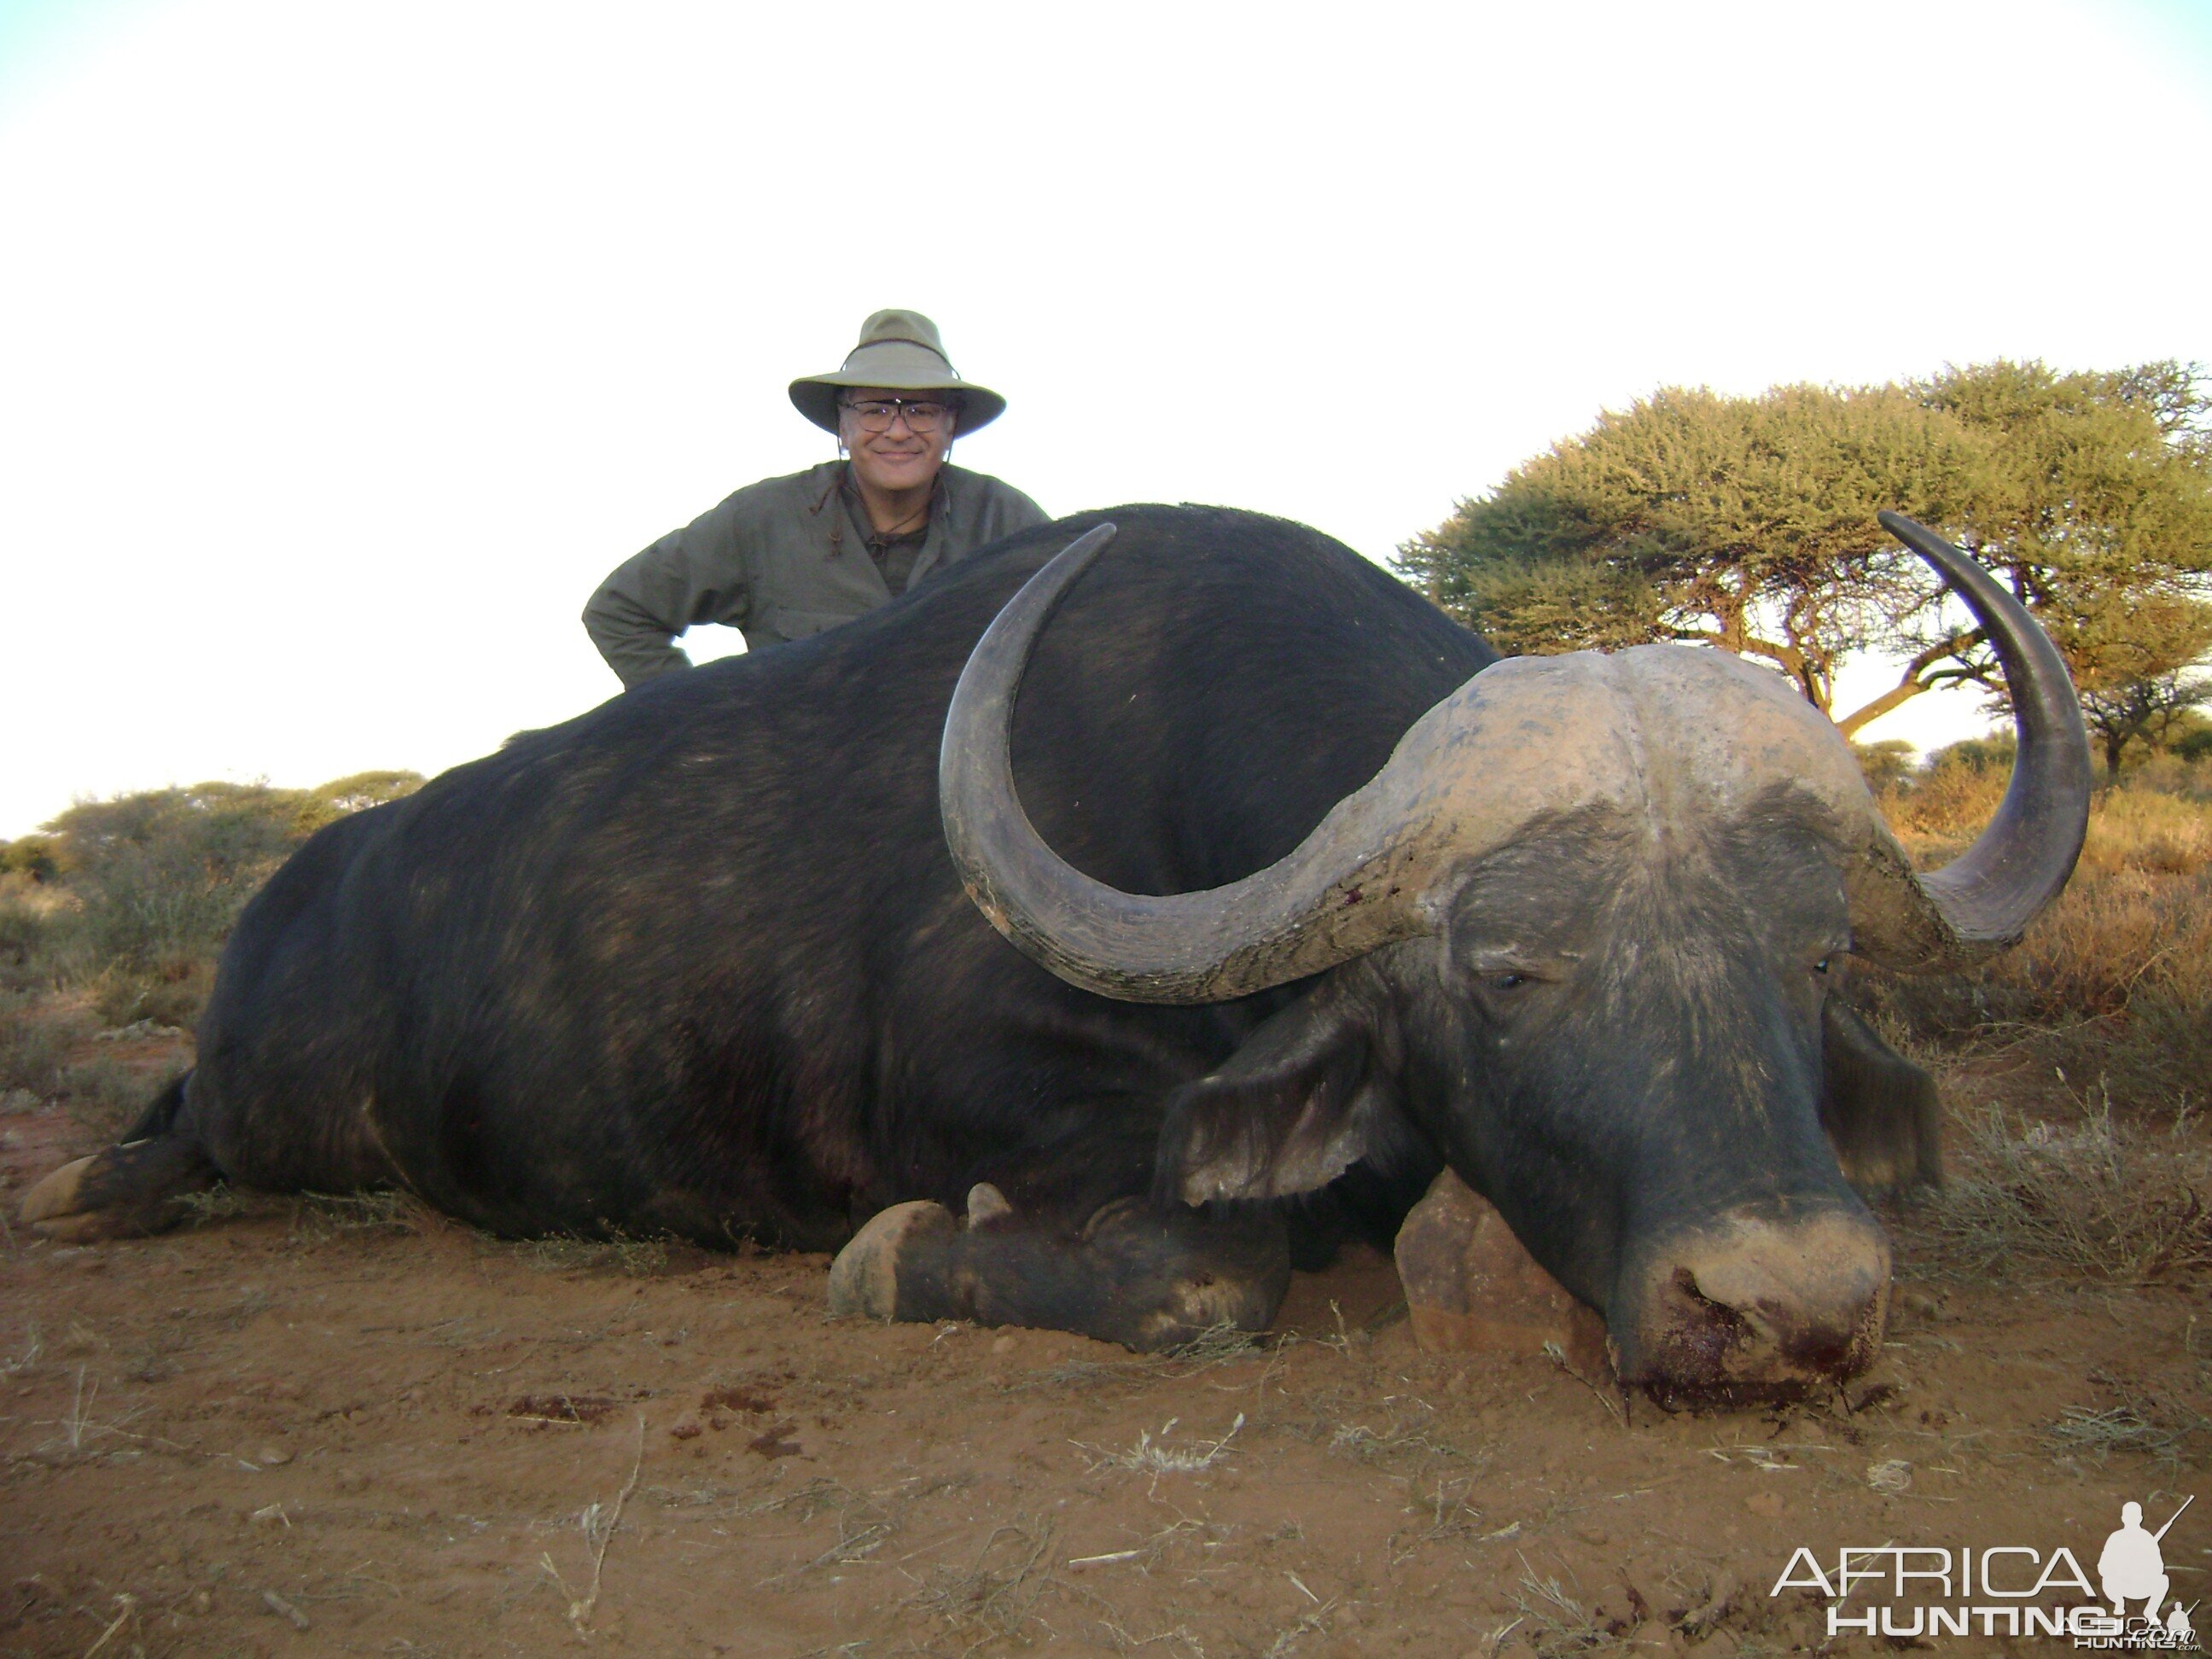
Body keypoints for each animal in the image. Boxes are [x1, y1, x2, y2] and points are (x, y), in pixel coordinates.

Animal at [21, 506, 2087, 1406]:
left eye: (1815, 960)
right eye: (1507, 971)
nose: (1793, 1309)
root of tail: (290, 894)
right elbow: (1206, 1279)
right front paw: (890, 1259)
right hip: (270, 1116)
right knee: (179, 1131)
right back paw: (89, 1184)